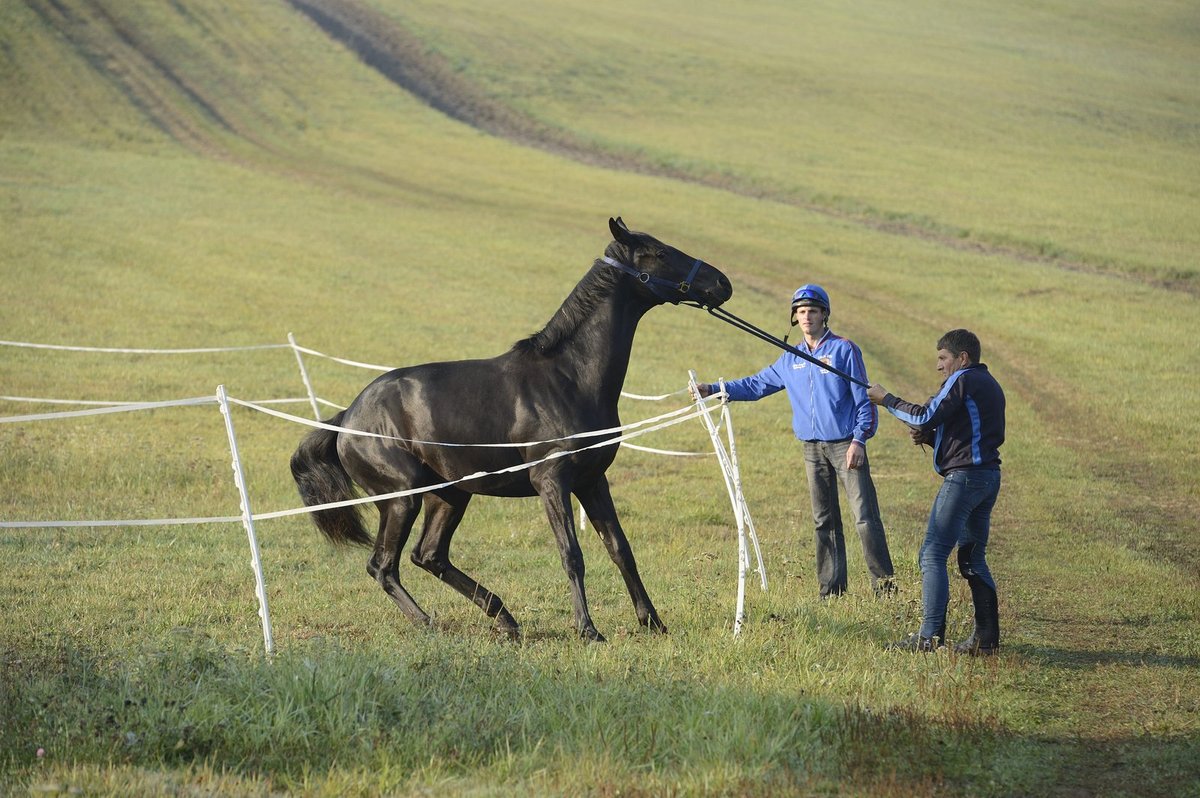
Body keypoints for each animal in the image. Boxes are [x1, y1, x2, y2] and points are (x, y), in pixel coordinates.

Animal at [295, 218, 734, 643]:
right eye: (658, 252)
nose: (721, 283)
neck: (569, 379)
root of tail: (346, 420)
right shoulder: (551, 481)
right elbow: (571, 553)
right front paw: (588, 630)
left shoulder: (592, 480)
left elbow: (620, 549)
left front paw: (653, 622)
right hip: (403, 498)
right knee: (383, 565)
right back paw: (432, 624)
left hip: (451, 495)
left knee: (429, 555)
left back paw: (504, 618)